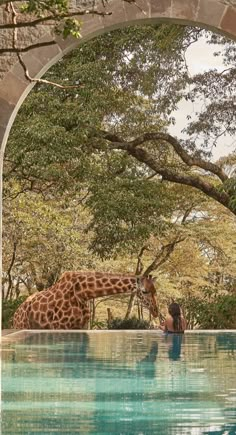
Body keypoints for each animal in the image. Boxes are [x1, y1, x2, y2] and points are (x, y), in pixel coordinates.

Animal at [12, 270, 158, 328]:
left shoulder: (82, 325)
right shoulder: (60, 326)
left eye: (155, 291)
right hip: (22, 325)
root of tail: (15, 314)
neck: (83, 293)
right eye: (144, 291)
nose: (156, 312)